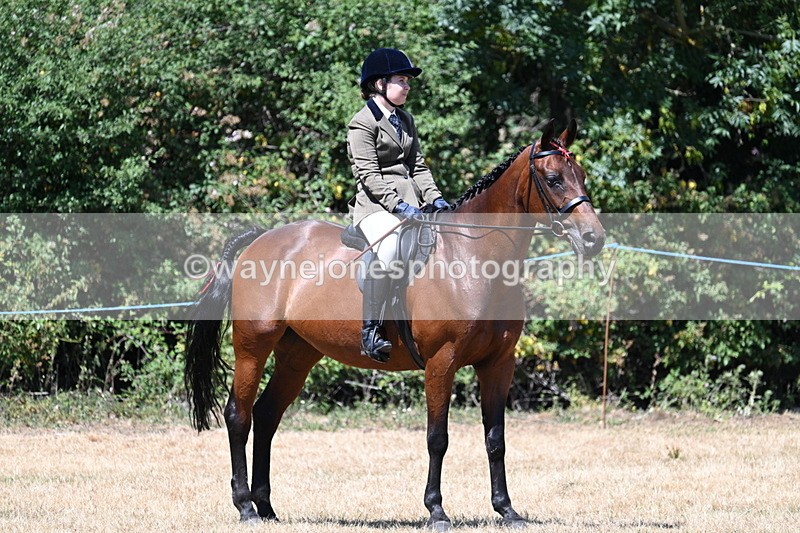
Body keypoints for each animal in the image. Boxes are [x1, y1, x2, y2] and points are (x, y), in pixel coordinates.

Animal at [185, 119, 605, 530]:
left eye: (582, 175)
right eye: (553, 178)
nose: (593, 239)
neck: (472, 255)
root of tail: (261, 240)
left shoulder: (499, 363)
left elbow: (495, 438)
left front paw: (507, 510)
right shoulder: (441, 362)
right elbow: (438, 438)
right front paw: (436, 511)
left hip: (297, 356)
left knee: (267, 415)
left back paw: (268, 507)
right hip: (252, 349)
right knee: (238, 415)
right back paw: (246, 507)